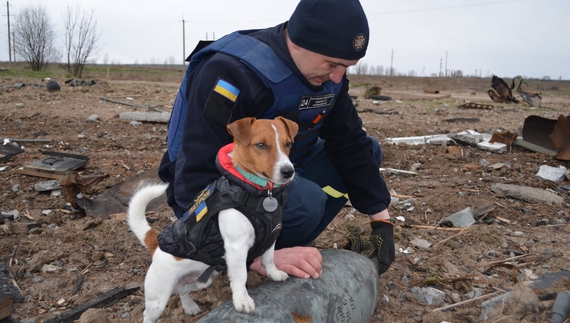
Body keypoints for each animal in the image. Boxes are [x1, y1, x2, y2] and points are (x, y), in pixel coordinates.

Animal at [127, 117, 298, 323]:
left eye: (288, 144)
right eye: (261, 145)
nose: (289, 171)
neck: (260, 193)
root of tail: (155, 243)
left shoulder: (271, 236)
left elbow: (269, 258)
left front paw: (273, 274)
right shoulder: (236, 247)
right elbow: (240, 276)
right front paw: (242, 300)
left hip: (200, 280)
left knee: (182, 290)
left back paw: (189, 306)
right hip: (157, 299)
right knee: (149, 314)